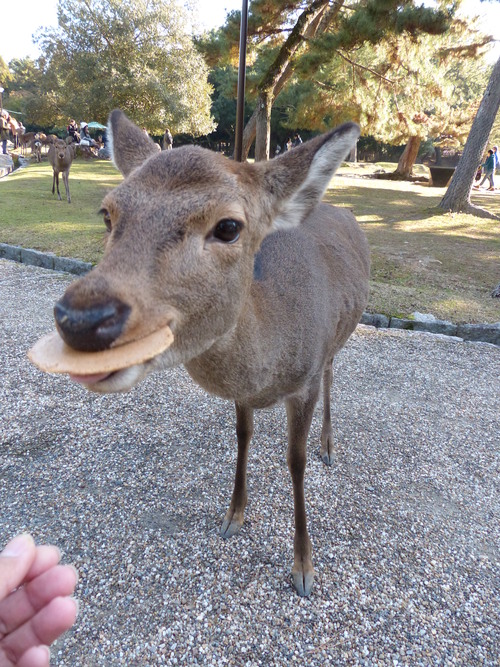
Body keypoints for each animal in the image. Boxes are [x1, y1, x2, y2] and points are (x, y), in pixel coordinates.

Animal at [51, 111, 372, 600]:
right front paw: (234, 514)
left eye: (228, 227)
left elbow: (294, 462)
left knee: (334, 372)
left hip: (337, 338)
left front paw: (303, 567)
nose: (80, 319)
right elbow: (242, 436)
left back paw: (328, 446)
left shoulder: (305, 378)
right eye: (107, 213)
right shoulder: (244, 396)